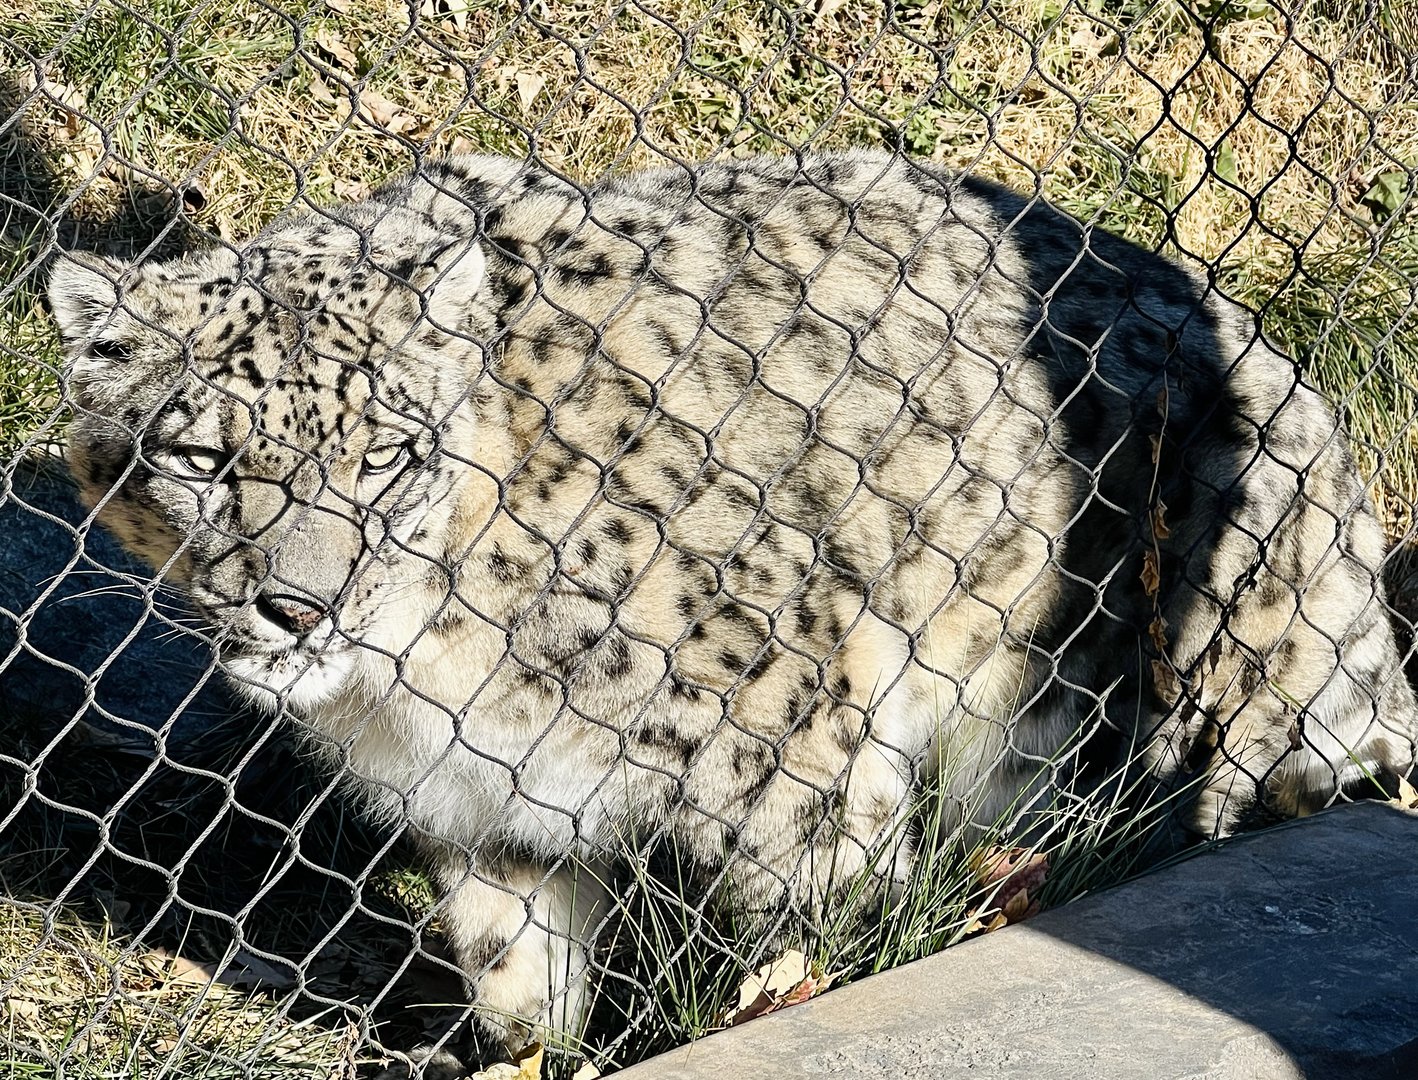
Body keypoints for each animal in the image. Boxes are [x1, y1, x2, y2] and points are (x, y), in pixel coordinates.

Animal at [48, 149, 1418, 1055]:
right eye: (201, 457)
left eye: (385, 455)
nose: (301, 607)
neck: (419, 676)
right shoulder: (481, 805)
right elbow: (514, 975)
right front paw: (539, 1047)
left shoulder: (785, 735)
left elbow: (810, 928)